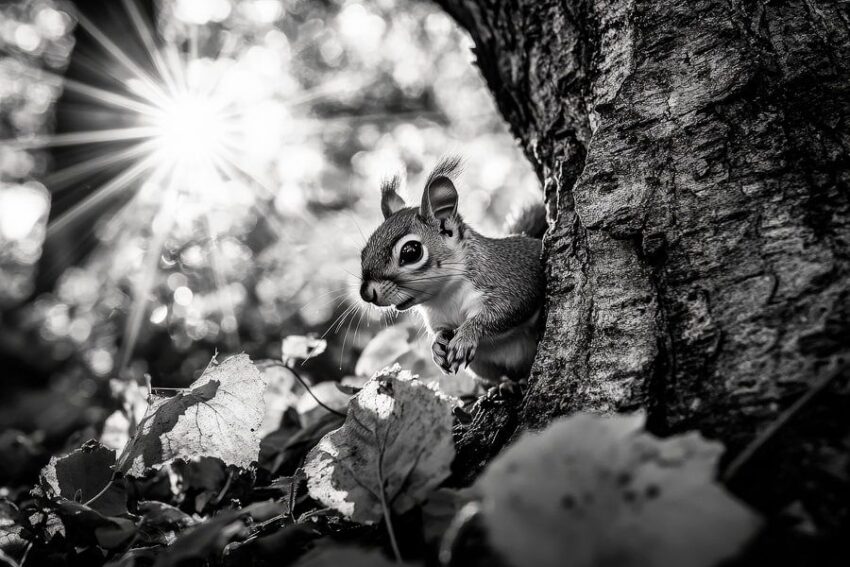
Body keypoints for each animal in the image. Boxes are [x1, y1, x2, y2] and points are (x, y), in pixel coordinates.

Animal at [356, 158, 544, 384]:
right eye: (363, 253)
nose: (366, 294)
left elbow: (503, 312)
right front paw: (436, 347)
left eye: (411, 252)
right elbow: (439, 332)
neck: (445, 295)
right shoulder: (438, 319)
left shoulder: (511, 281)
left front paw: (466, 335)